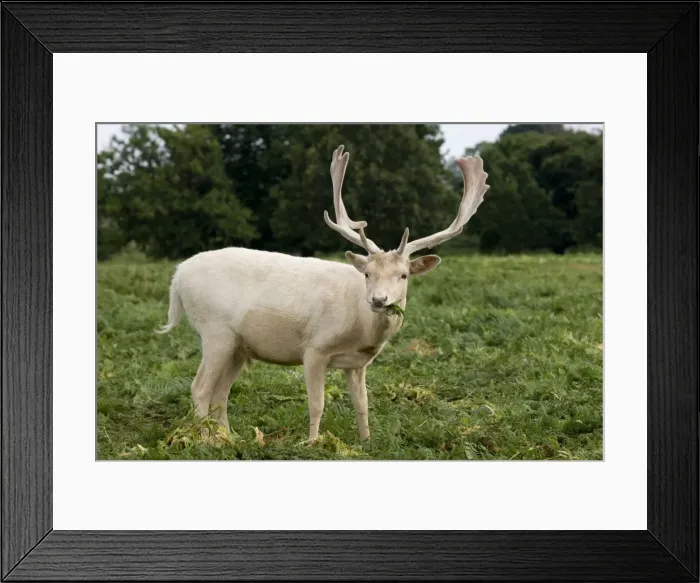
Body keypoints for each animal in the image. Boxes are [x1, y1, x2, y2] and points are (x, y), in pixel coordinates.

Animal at [156, 145, 490, 443]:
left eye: (404, 275)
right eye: (367, 273)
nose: (379, 300)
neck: (360, 327)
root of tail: (177, 277)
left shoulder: (358, 364)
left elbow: (362, 405)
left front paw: (366, 442)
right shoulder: (315, 347)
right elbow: (317, 404)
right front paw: (313, 443)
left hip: (238, 345)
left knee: (220, 392)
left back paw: (230, 438)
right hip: (215, 331)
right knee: (200, 388)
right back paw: (204, 441)